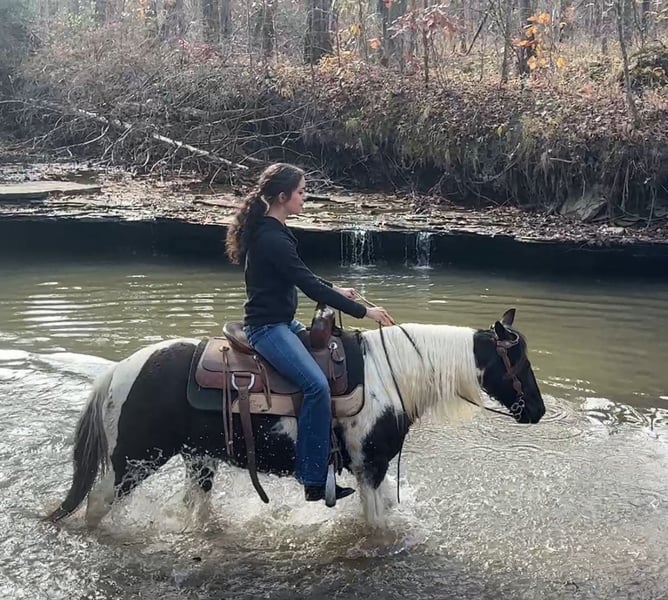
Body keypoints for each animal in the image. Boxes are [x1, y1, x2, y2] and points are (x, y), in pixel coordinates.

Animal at [47, 308, 545, 527]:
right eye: (519, 359)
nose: (538, 411)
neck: (392, 375)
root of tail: (117, 372)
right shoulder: (370, 468)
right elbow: (377, 527)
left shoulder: (372, 471)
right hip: (135, 461)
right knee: (98, 506)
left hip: (198, 460)